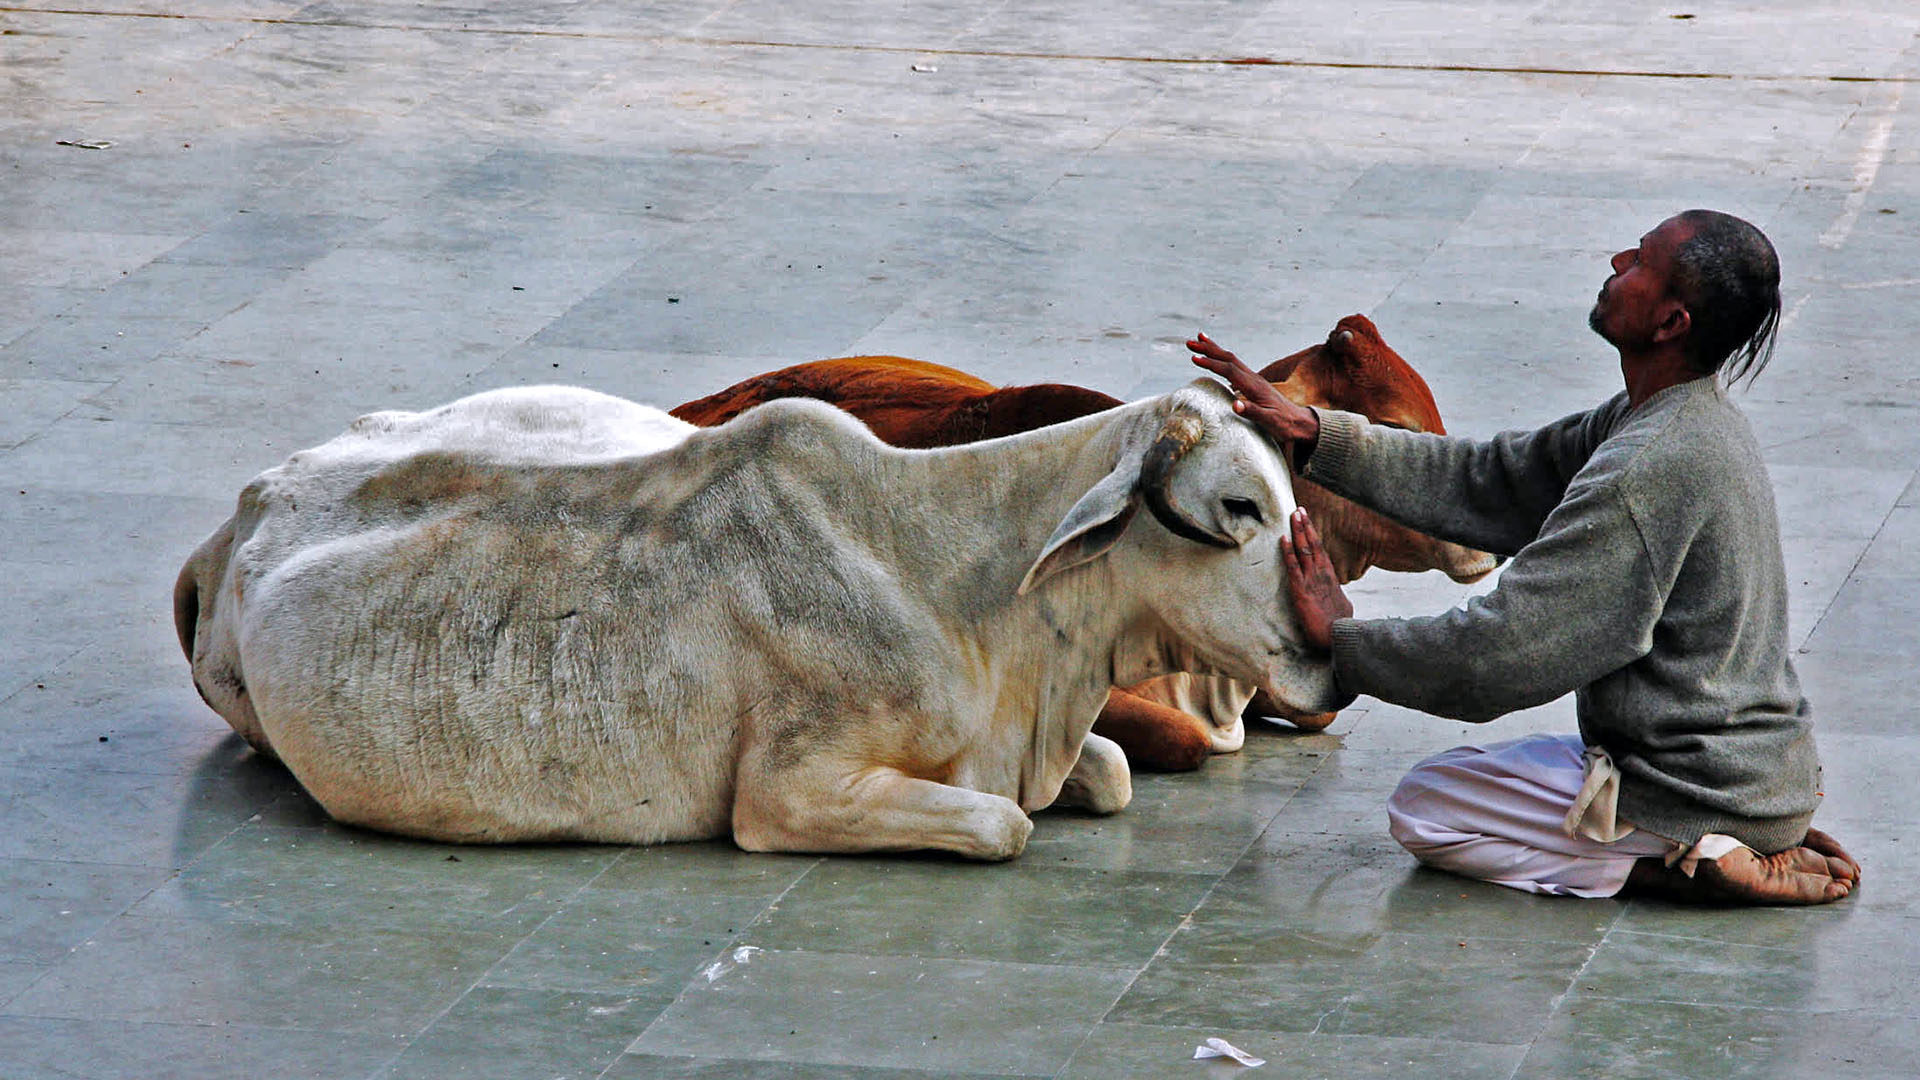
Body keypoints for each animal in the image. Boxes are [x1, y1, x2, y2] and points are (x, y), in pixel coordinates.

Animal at [180, 378, 1344, 857]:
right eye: (1239, 508)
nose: (1328, 657)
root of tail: (246, 508)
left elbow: (1104, 775)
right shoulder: (789, 791)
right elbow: (1004, 825)